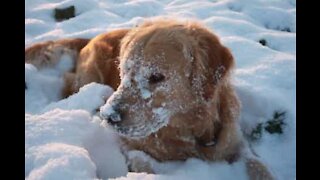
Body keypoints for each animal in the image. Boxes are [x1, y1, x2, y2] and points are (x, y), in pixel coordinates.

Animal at [25, 19, 276, 179]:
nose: (109, 117)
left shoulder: (234, 142)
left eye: (156, 77)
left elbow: (259, 165)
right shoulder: (124, 142)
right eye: (124, 71)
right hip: (89, 75)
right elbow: (143, 162)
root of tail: (92, 36)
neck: (189, 131)